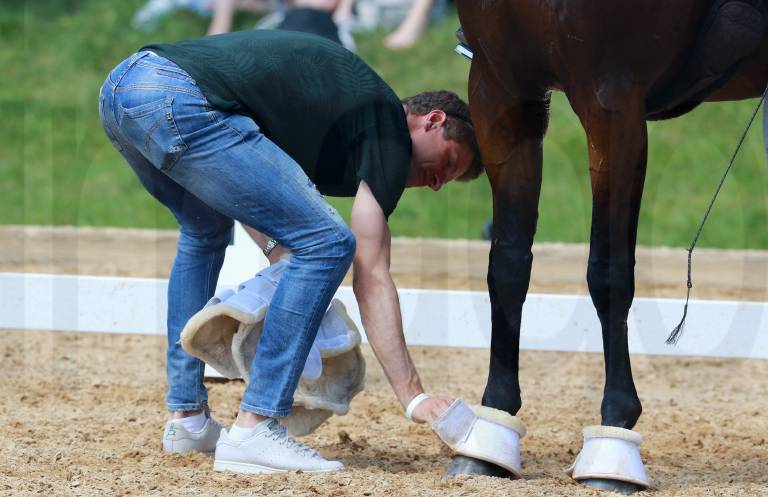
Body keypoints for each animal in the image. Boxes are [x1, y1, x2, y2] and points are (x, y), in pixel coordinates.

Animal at [450, 0, 768, 488]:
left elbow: (608, 272)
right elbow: (507, 265)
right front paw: (492, 427)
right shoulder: (499, 87)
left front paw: (613, 439)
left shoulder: (612, 101)